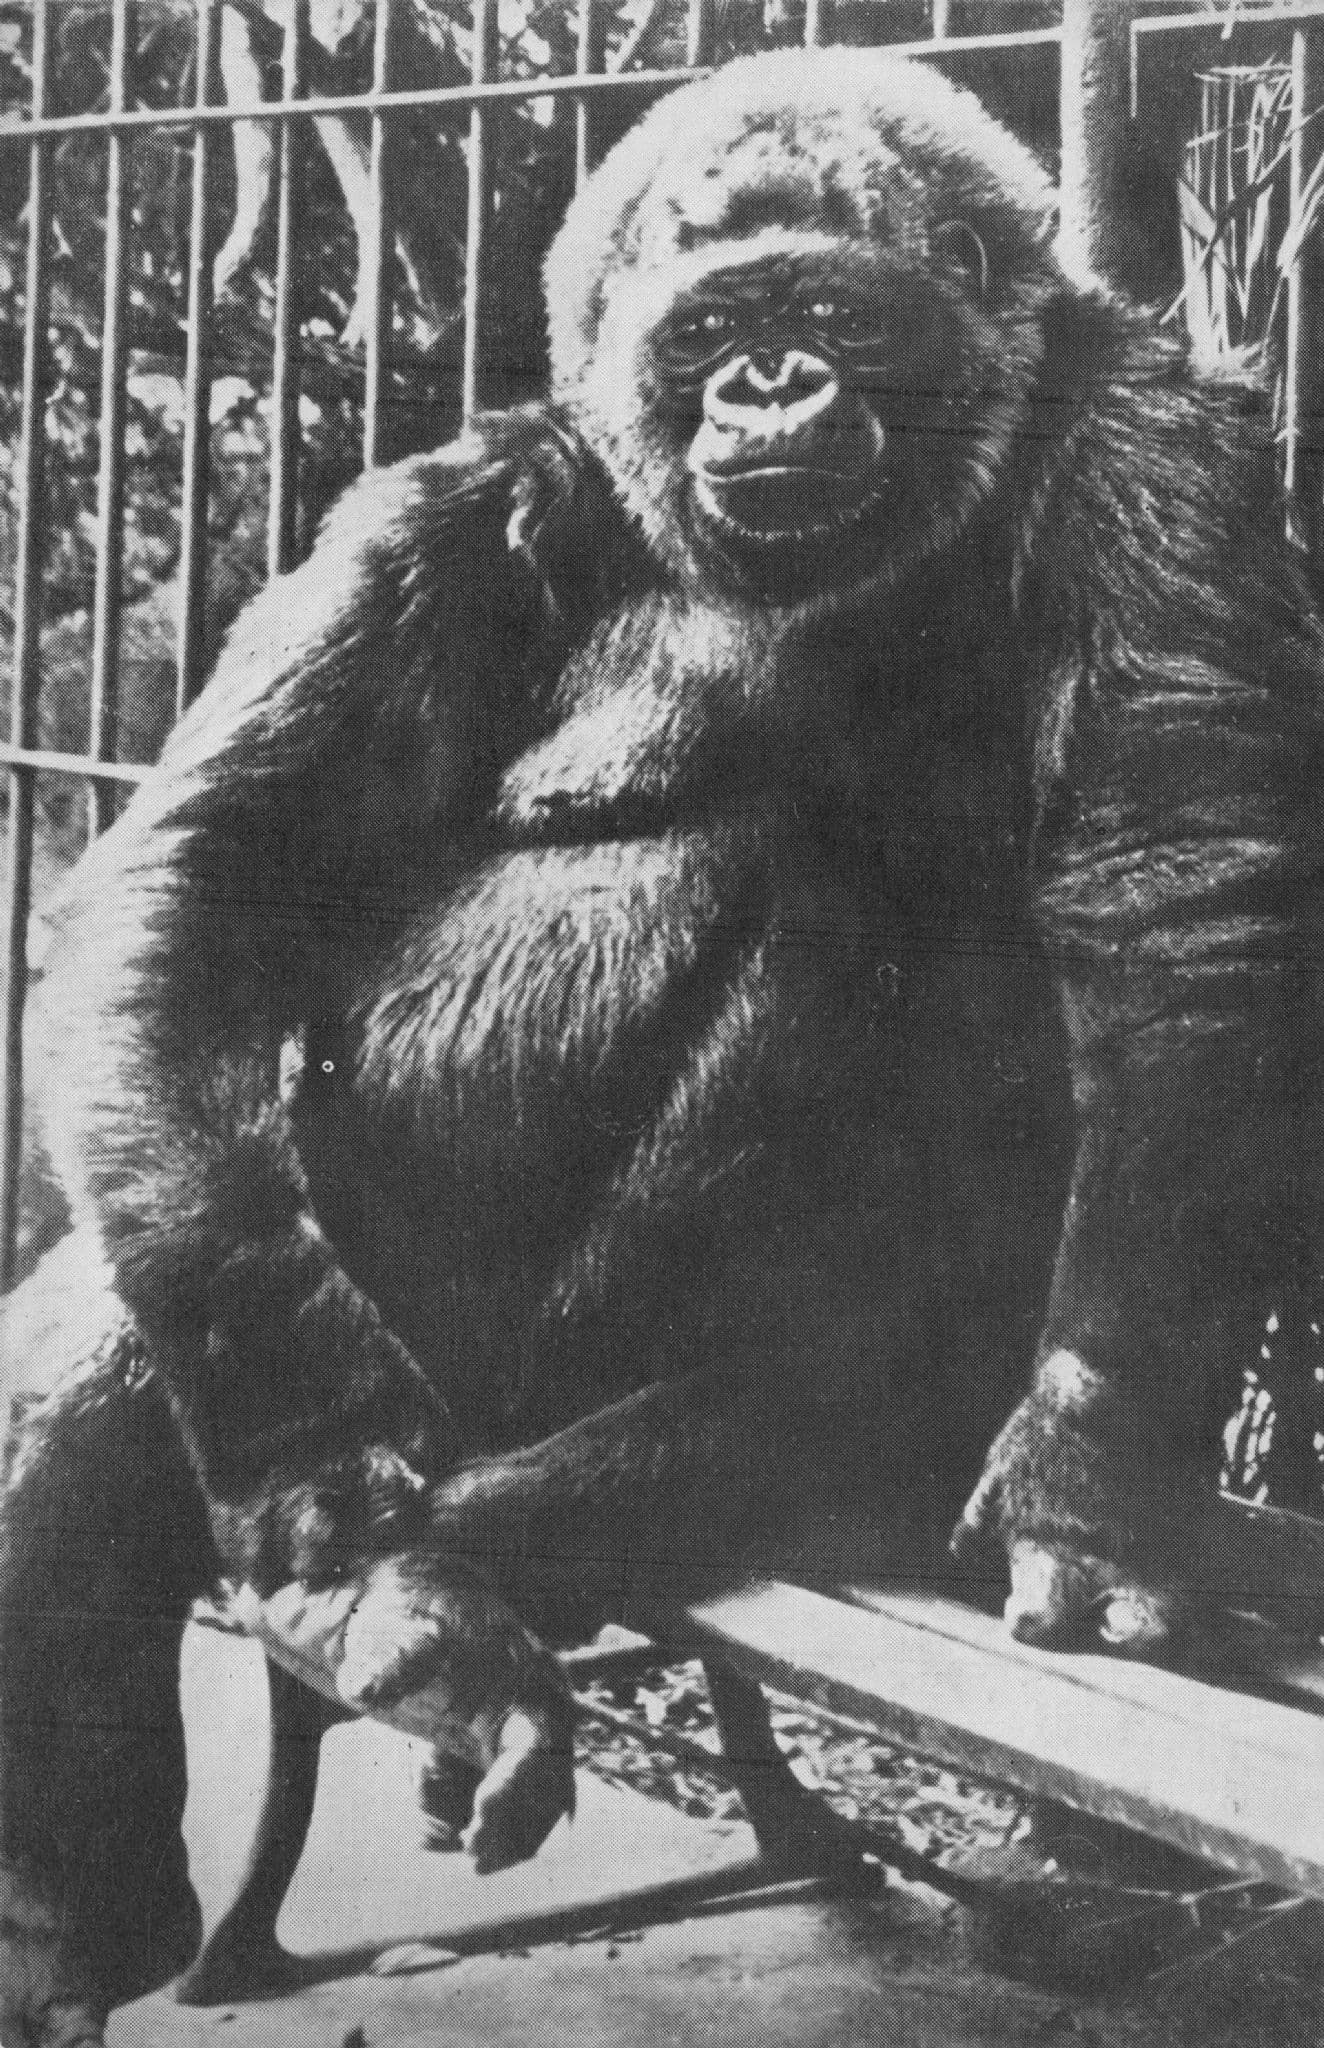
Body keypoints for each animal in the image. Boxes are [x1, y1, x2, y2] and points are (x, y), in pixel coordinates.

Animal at [5, 47, 1324, 2045]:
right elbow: (206, 874)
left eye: (824, 315)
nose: (766, 385)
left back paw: (577, 1518)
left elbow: (1180, 889)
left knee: (814, 924)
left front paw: (1094, 1479)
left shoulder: (1156, 442)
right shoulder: (448, 508)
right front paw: (314, 1458)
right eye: (708, 330)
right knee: (113, 1347)